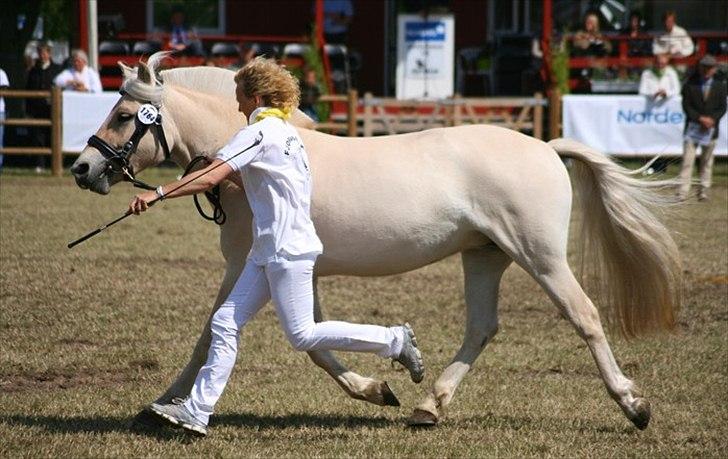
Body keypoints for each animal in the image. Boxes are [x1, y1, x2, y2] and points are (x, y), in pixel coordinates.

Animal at [71, 54, 680, 432]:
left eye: (124, 114)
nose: (82, 169)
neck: (243, 159)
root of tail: (548, 147)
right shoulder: (291, 272)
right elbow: (311, 340)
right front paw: (379, 388)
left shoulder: (249, 264)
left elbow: (217, 336)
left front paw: (161, 406)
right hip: (485, 256)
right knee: (482, 328)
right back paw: (429, 406)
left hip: (541, 256)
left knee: (584, 316)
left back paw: (634, 405)